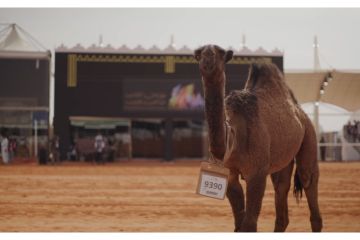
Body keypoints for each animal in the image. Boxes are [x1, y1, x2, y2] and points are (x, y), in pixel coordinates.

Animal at [194, 44, 324, 232]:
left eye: (220, 52)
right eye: (199, 53)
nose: (208, 58)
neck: (233, 136)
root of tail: (300, 113)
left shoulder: (257, 172)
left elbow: (249, 225)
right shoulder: (230, 174)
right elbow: (239, 225)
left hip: (309, 134)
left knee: (308, 179)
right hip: (282, 158)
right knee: (281, 190)